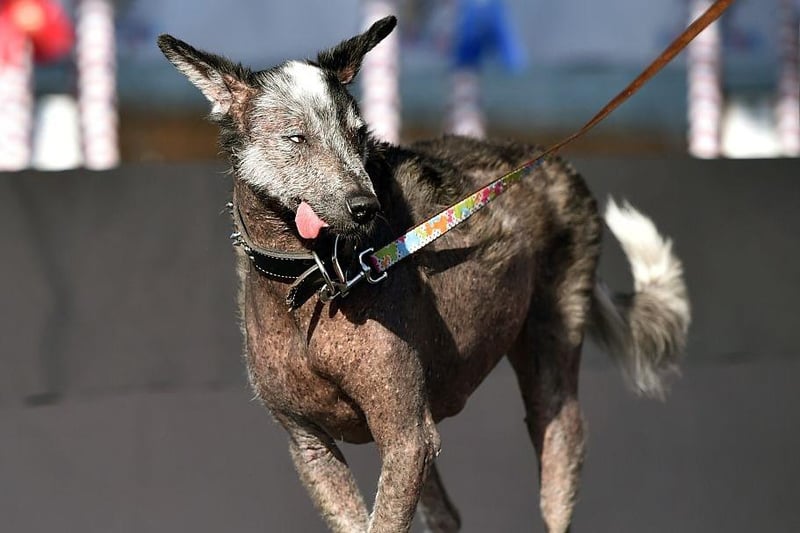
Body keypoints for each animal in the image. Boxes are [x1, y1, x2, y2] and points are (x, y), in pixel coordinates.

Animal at [159, 16, 692, 532]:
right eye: (297, 138)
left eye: (358, 134)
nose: (365, 206)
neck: (316, 277)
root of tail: (555, 162)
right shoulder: (312, 446)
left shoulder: (406, 438)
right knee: (447, 514)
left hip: (549, 387)